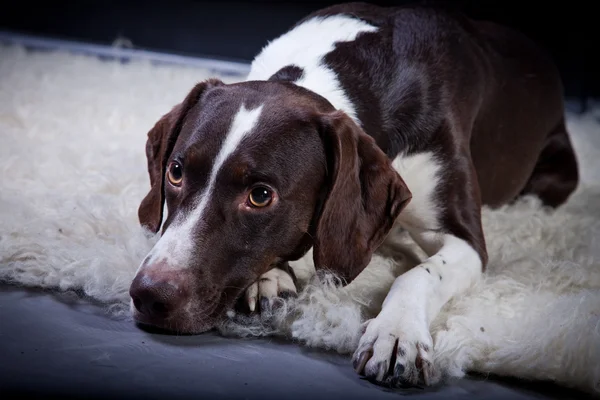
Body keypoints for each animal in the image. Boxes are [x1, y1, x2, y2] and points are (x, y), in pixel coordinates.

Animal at [129, 1, 580, 386]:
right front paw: (271, 279)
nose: (148, 295)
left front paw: (396, 332)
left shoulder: (465, 239)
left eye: (260, 195)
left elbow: (419, 275)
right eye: (175, 172)